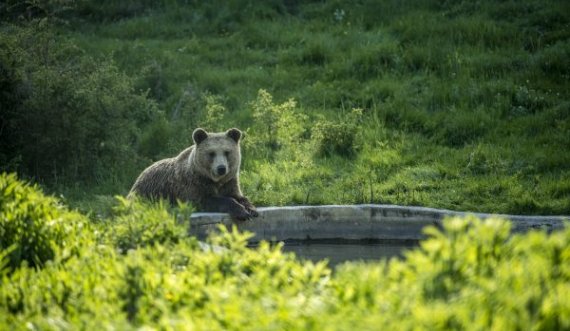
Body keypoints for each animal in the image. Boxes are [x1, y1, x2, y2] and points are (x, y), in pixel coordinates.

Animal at [129, 129, 258, 220]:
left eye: (227, 152)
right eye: (211, 153)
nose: (221, 168)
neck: (215, 180)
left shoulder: (229, 182)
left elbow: (239, 196)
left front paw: (251, 209)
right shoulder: (193, 184)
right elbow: (208, 200)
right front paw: (242, 212)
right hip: (146, 193)